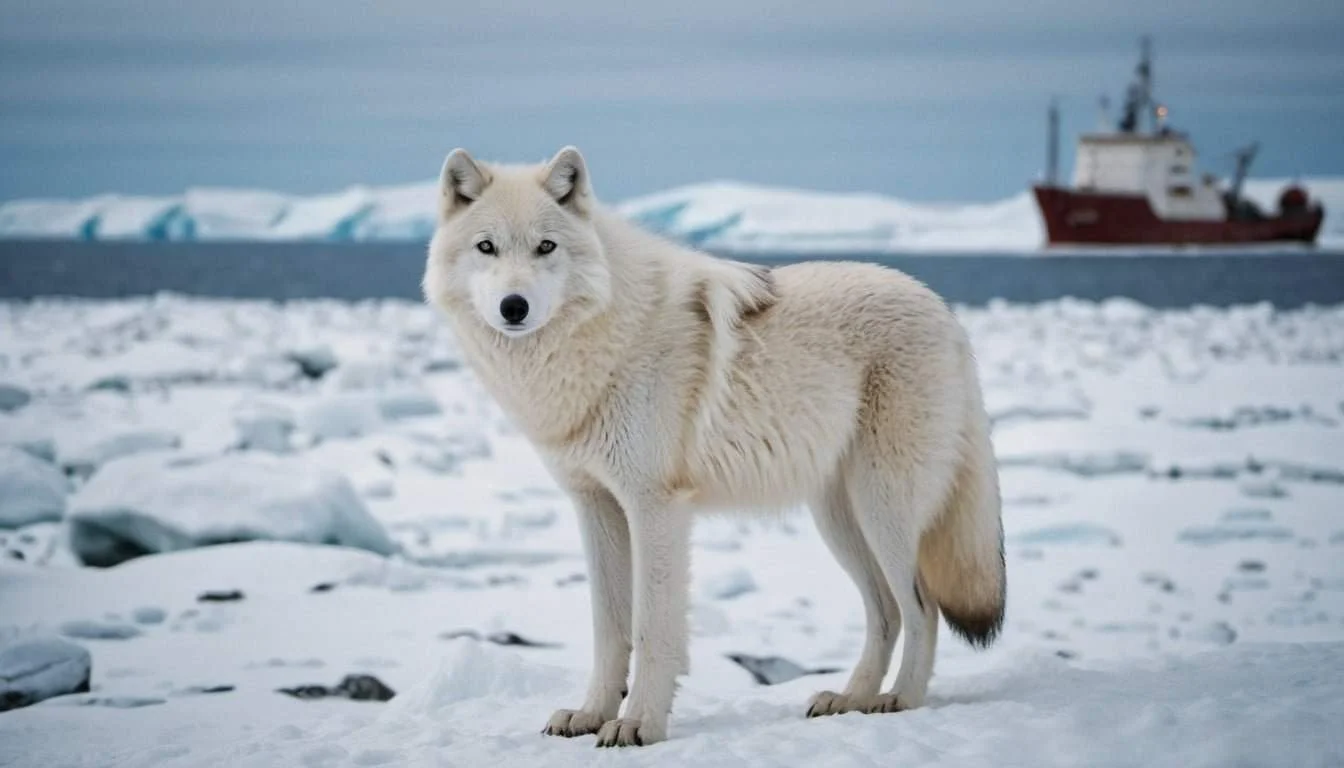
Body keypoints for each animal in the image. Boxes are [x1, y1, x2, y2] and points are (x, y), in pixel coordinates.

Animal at [422, 146, 1006, 747]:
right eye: (486, 247)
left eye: (546, 246)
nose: (513, 306)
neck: (603, 339)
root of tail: (946, 312)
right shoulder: (595, 506)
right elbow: (608, 628)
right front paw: (590, 714)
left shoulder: (656, 507)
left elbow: (651, 628)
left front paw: (639, 724)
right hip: (839, 521)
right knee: (886, 611)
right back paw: (850, 699)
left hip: (882, 509)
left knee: (923, 608)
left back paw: (900, 700)